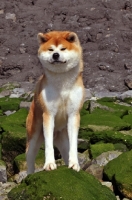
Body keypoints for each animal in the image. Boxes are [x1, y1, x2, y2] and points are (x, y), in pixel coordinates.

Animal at [25, 30, 84, 174]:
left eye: (63, 49)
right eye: (51, 49)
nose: (55, 55)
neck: (62, 82)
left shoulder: (74, 114)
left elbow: (74, 144)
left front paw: (75, 164)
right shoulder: (48, 114)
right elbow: (48, 145)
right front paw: (50, 164)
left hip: (63, 142)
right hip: (33, 137)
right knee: (30, 161)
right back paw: (29, 174)